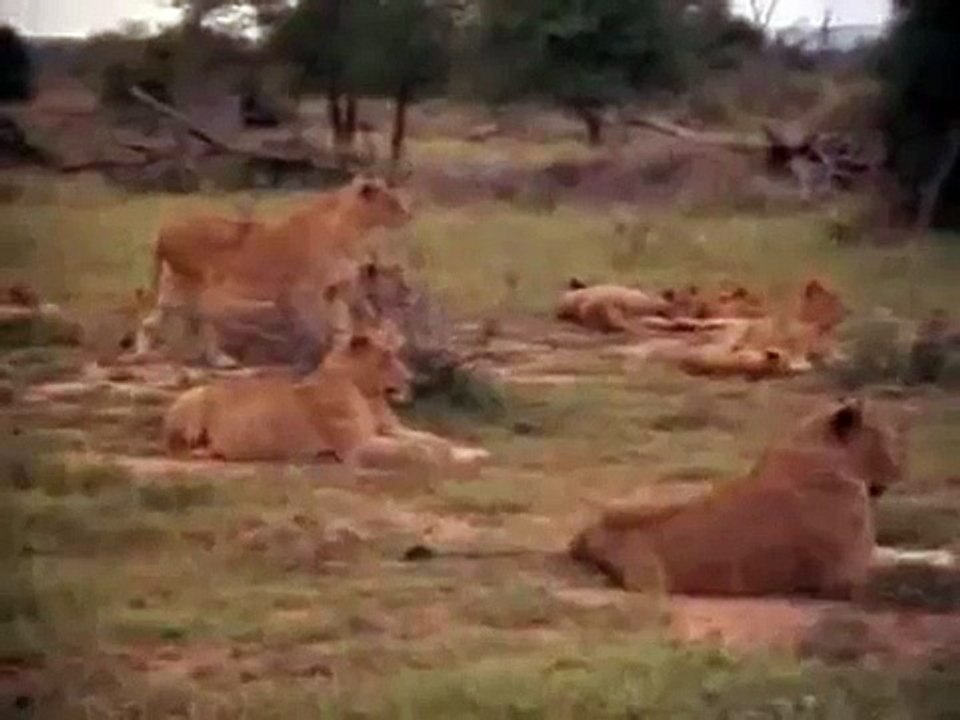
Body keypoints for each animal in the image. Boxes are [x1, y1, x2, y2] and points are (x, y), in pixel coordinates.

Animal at [135, 175, 412, 367]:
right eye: (391, 201)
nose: (408, 215)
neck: (352, 230)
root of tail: (163, 231)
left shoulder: (335, 289)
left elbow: (342, 327)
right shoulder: (301, 292)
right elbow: (316, 329)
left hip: (176, 284)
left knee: (154, 318)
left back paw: (143, 352)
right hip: (201, 283)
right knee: (200, 319)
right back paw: (218, 359)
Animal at [163, 319, 488, 469]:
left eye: (394, 353)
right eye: (386, 355)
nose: (410, 379)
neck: (366, 393)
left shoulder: (387, 429)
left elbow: (434, 439)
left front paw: (472, 452)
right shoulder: (356, 447)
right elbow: (418, 449)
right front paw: (442, 458)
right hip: (195, 397)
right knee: (179, 447)